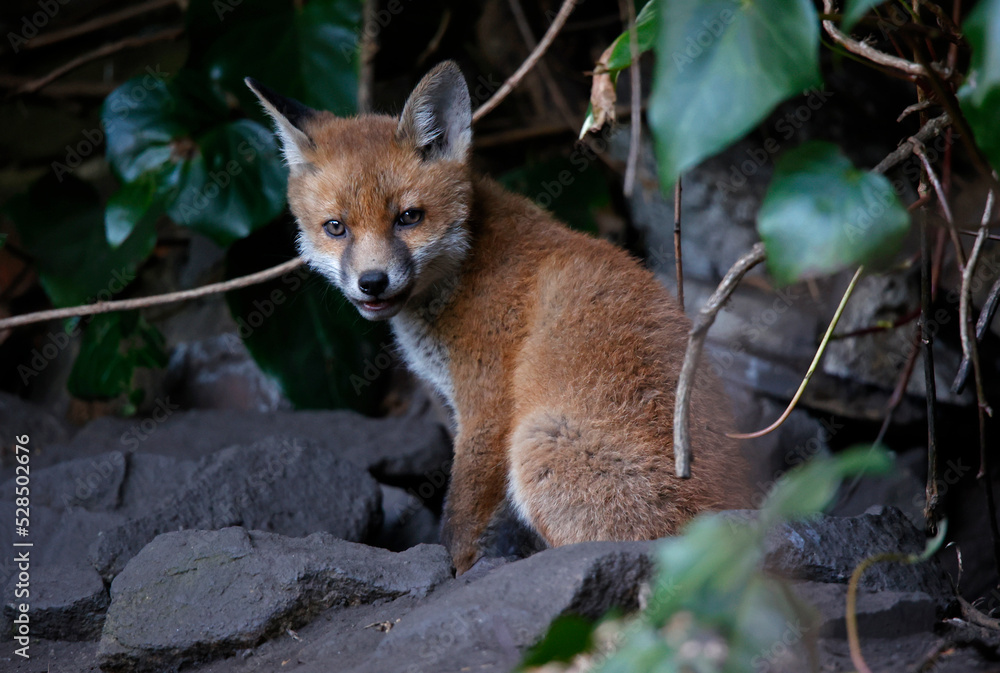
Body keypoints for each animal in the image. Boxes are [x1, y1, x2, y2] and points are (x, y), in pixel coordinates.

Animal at [246, 61, 747, 574]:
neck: (465, 265)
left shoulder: (487, 407)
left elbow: (460, 521)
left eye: (408, 218)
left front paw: (453, 574)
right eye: (336, 227)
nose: (372, 282)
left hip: (538, 441)